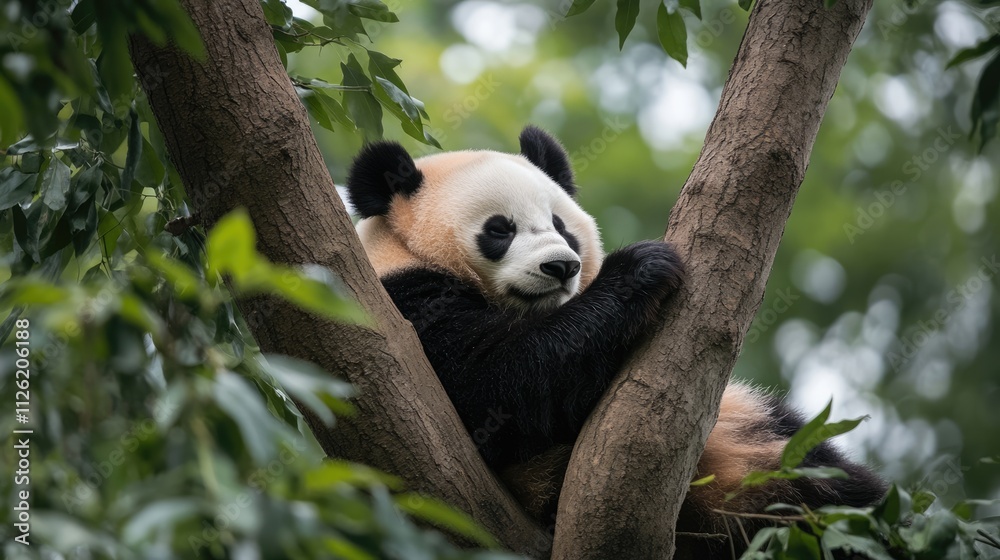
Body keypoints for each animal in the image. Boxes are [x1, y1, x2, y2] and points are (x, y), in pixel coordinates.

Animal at [345, 126, 885, 557]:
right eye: (499, 230)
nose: (561, 267)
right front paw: (640, 268)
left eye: (561, 225)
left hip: (754, 444)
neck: (403, 250)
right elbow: (496, 384)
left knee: (836, 486)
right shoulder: (402, 305)